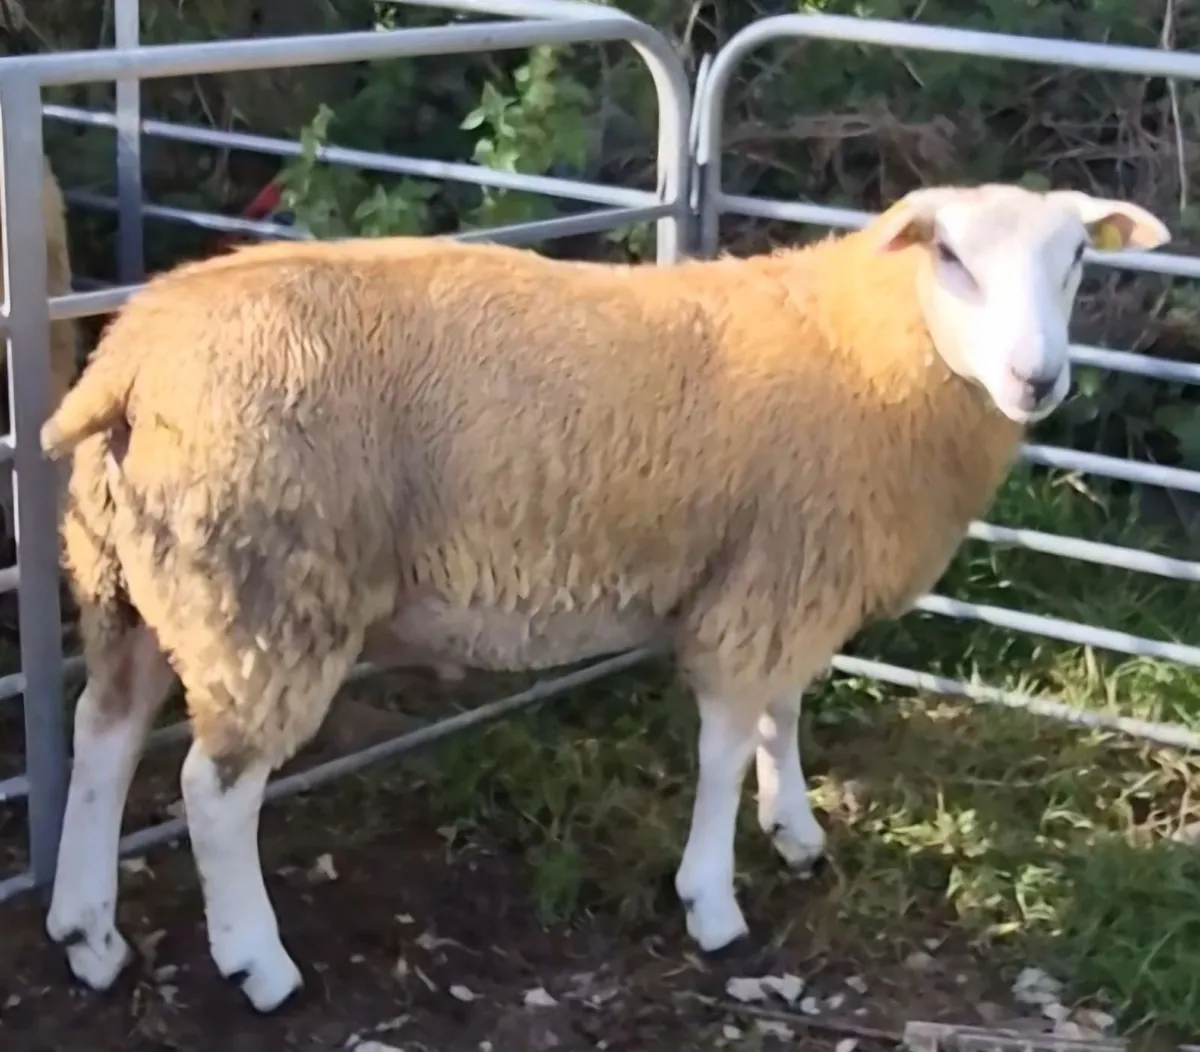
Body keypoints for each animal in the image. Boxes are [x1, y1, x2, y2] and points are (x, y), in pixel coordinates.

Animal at [38, 183, 1168, 1013]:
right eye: (952, 258)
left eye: (1077, 258)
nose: (1038, 380)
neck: (871, 352)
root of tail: (128, 359)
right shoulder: (763, 582)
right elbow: (726, 743)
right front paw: (713, 901)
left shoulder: (788, 569)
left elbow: (784, 709)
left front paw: (795, 828)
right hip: (262, 587)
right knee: (212, 788)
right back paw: (258, 963)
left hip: (127, 577)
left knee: (102, 736)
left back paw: (87, 934)